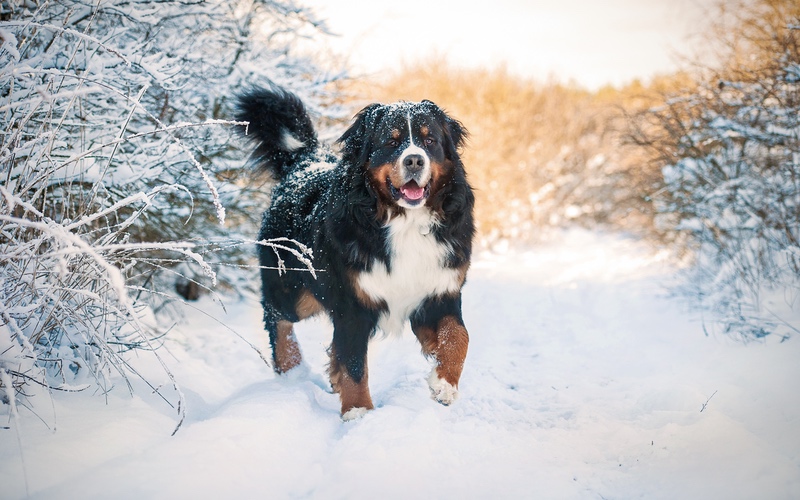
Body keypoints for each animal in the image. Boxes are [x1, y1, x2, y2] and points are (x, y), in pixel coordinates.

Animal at [238, 84, 476, 420]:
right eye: (391, 142)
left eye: (430, 141)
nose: (415, 161)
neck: (404, 222)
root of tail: (306, 162)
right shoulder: (352, 302)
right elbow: (354, 364)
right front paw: (358, 411)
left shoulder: (439, 291)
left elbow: (458, 337)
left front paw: (444, 384)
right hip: (296, 292)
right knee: (277, 316)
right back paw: (291, 368)